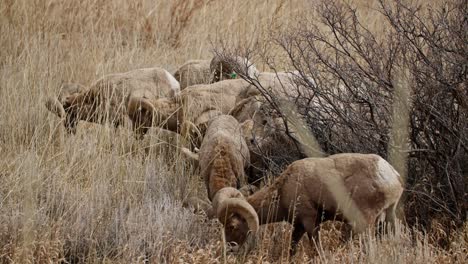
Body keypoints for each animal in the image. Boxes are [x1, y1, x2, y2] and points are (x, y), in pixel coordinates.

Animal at [214, 153, 404, 254]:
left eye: (232, 226)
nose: (229, 249)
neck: (283, 189)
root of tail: (392, 175)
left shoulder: (310, 222)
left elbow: (316, 250)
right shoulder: (299, 226)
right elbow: (292, 248)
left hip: (366, 222)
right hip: (388, 216)